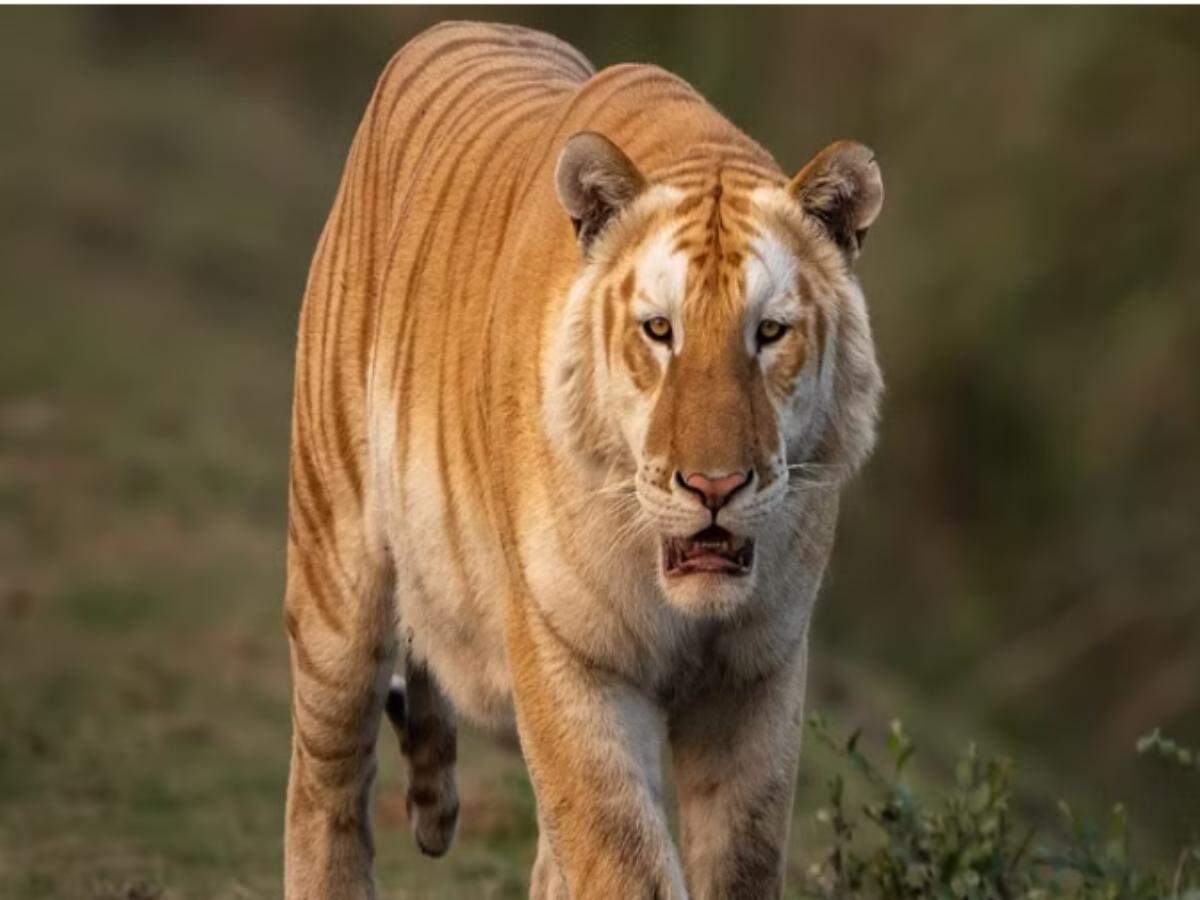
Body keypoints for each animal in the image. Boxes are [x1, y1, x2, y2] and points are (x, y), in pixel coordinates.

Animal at [283, 19, 883, 900]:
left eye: (769, 333)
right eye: (659, 331)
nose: (713, 485)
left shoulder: (758, 675)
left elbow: (737, 862)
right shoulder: (569, 656)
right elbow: (623, 857)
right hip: (336, 574)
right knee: (325, 786)